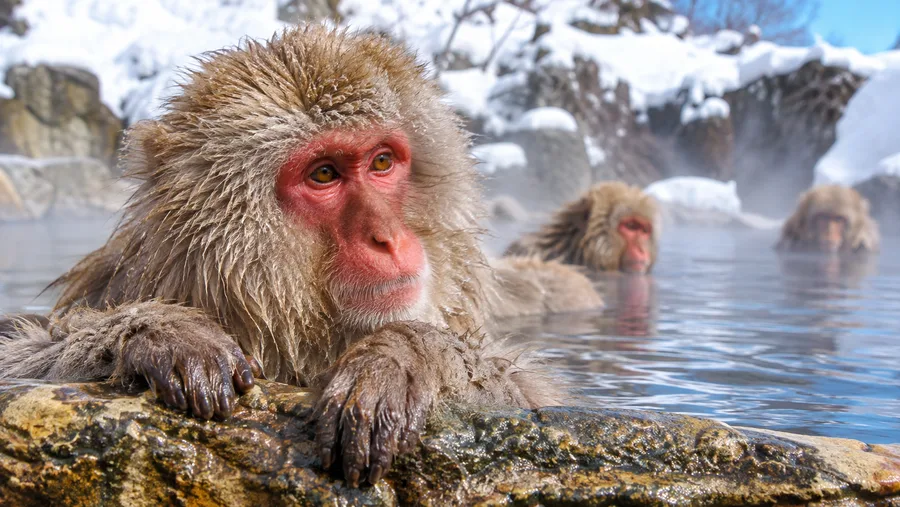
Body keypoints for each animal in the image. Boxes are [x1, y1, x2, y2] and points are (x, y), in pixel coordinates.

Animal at [0, 26, 605, 487]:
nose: (387, 237)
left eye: (382, 162)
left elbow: (529, 393)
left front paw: (404, 357)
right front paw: (163, 331)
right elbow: (18, 353)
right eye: (324, 174)